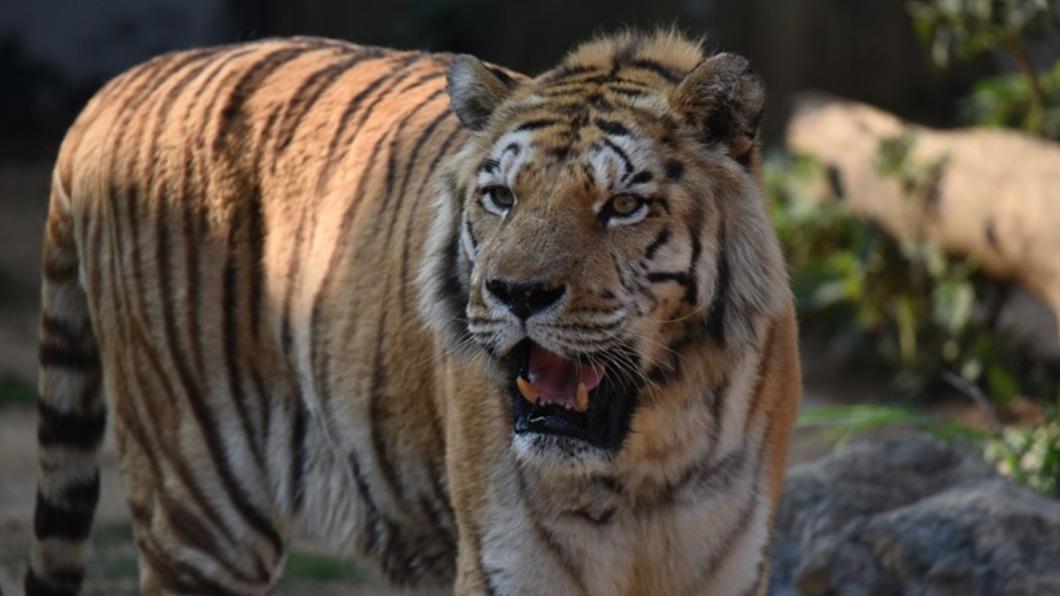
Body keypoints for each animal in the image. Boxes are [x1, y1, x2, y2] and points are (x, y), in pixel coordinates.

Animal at [26, 29, 800, 596]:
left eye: (623, 205)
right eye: (501, 197)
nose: (517, 293)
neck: (644, 463)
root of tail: (117, 88)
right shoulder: (508, 565)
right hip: (200, 505)